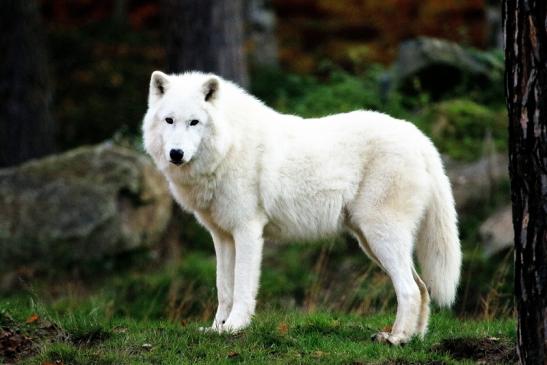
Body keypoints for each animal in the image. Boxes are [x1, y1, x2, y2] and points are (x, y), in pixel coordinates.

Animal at [142, 69, 462, 342]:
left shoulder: (247, 231)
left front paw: (234, 328)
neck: (230, 145)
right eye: (169, 120)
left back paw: (395, 338)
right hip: (371, 241)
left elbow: (243, 288)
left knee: (409, 289)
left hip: (380, 236)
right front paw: (216, 329)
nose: (176, 154)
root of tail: (419, 137)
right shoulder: (222, 236)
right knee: (422, 288)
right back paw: (414, 338)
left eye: (194, 122)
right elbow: (224, 289)